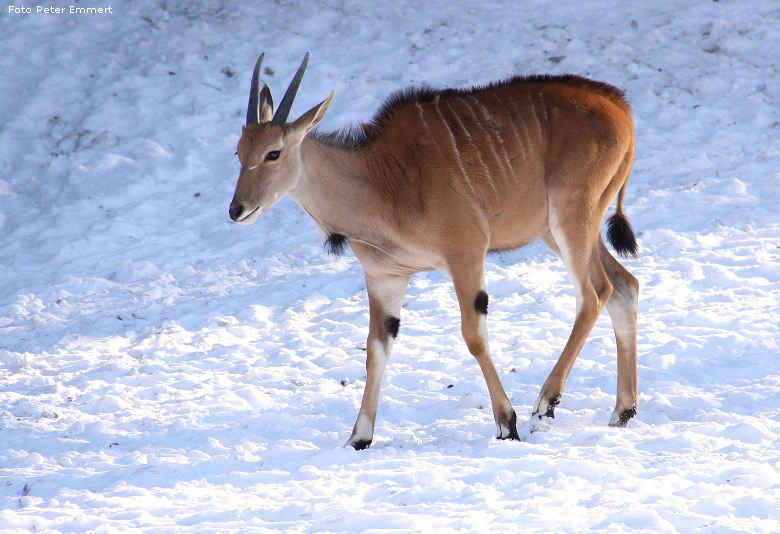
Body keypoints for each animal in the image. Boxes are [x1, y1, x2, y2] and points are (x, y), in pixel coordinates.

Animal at [230, 52, 640, 450]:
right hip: (564, 231)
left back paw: (546, 401)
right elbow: (376, 349)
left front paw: (507, 424)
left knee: (595, 294)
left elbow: (474, 336)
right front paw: (359, 437)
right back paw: (623, 410)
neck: (383, 180)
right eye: (239, 152)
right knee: (625, 286)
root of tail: (620, 106)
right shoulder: (385, 277)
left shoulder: (466, 254)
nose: (236, 209)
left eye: (273, 153)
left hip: (572, 218)